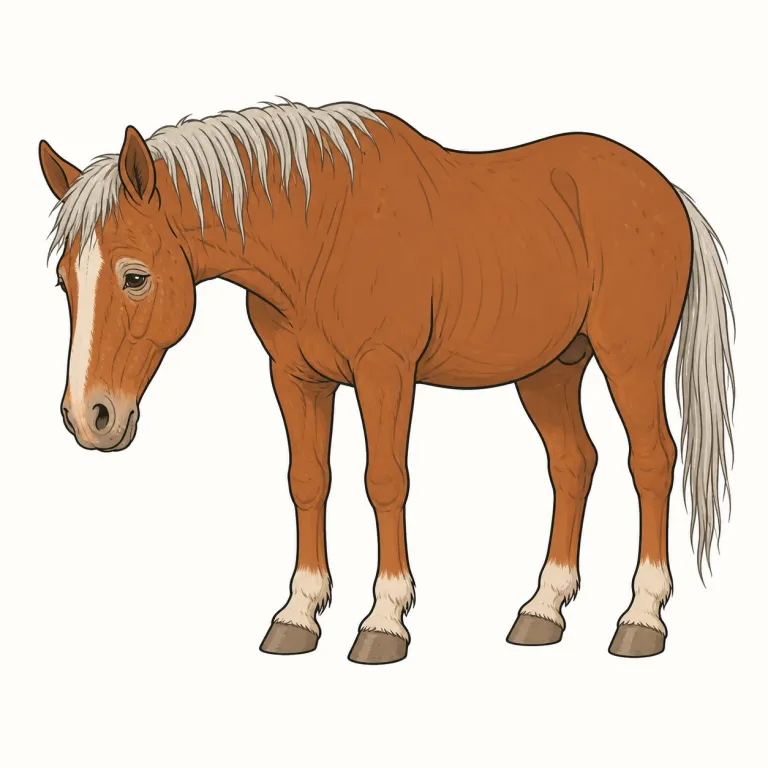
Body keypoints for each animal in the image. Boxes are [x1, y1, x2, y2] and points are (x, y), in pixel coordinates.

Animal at [39, 99, 734, 664]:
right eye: (64, 282)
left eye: (134, 277)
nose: (90, 417)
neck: (318, 229)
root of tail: (665, 190)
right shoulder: (296, 377)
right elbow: (308, 481)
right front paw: (299, 613)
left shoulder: (385, 371)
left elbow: (385, 482)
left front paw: (384, 620)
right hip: (549, 370)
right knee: (572, 463)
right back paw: (543, 608)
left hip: (630, 360)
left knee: (651, 460)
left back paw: (641, 617)